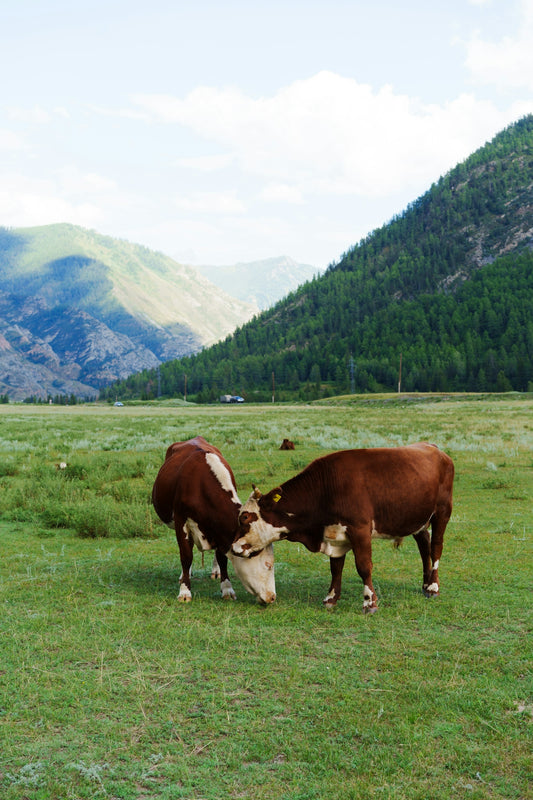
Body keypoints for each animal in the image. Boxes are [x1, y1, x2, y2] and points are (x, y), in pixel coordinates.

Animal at [152, 437, 276, 604]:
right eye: (267, 564)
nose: (272, 597)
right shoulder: (181, 521)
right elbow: (186, 556)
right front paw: (184, 591)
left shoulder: (220, 530)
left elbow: (222, 557)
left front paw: (227, 589)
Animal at [232, 443, 454, 613]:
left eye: (244, 517)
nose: (233, 547)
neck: (326, 488)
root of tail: (435, 448)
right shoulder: (334, 535)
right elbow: (335, 568)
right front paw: (331, 598)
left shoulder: (360, 530)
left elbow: (364, 567)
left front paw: (370, 603)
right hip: (417, 519)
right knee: (424, 546)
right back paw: (425, 584)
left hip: (442, 513)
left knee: (436, 547)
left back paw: (433, 587)